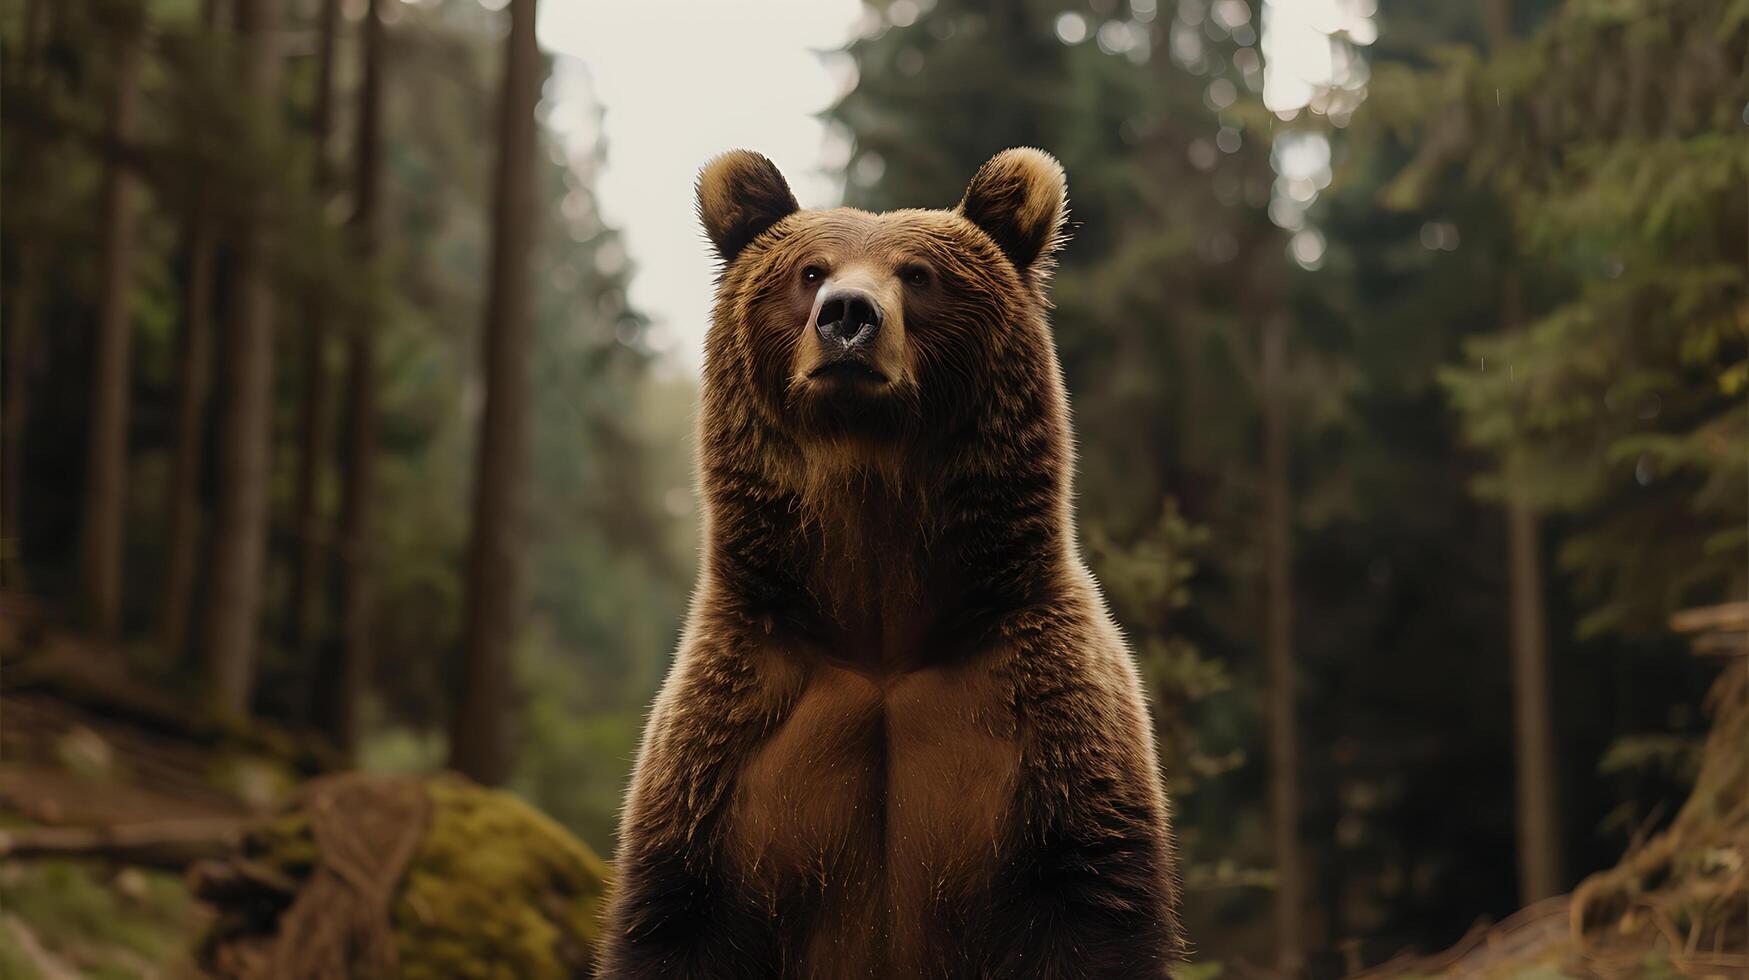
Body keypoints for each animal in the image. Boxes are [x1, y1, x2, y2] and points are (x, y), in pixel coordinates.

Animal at [601, 147, 1189, 980]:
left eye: (917, 273)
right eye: (809, 271)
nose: (847, 315)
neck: (878, 615)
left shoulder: (1050, 738)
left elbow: (1091, 912)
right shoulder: (726, 748)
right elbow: (677, 922)